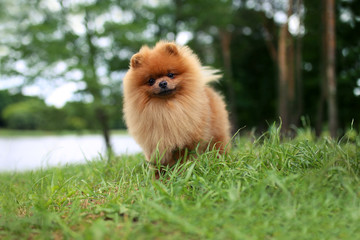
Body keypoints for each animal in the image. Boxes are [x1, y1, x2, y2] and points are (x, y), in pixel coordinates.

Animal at [123, 40, 231, 169]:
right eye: (151, 81)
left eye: (171, 74)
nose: (162, 83)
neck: (166, 108)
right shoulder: (154, 144)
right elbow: (157, 164)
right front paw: (159, 175)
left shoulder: (186, 141)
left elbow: (183, 158)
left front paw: (182, 170)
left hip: (217, 134)